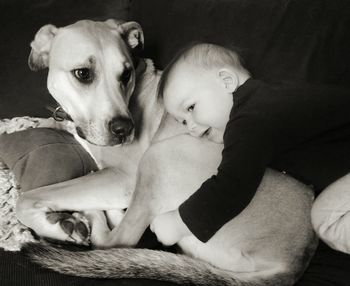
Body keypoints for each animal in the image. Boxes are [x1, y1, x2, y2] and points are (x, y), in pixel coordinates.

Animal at [17, 19, 318, 284]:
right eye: (83, 73)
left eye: (126, 74)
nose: (125, 129)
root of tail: (296, 260)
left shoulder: (124, 177)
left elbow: (26, 199)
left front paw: (55, 226)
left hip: (161, 158)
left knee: (118, 240)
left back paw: (91, 217)